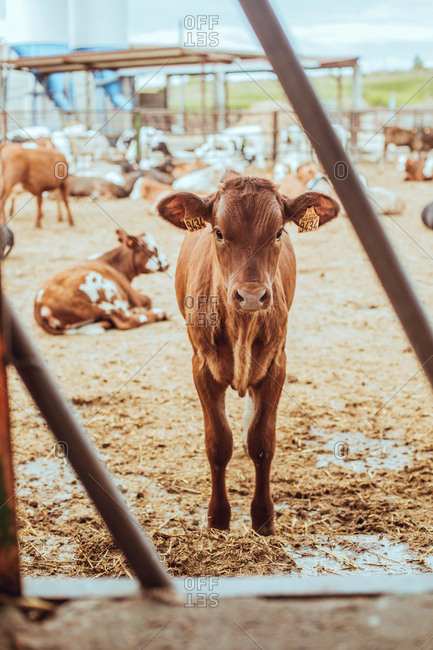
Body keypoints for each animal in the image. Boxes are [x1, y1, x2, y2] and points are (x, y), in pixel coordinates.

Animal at [34, 229, 168, 335]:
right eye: (152, 250)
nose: (167, 263)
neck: (113, 263)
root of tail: (40, 303)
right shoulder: (134, 296)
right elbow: (147, 300)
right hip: (106, 293)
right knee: (127, 320)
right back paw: (159, 313)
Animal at [156, 176, 339, 535]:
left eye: (279, 232)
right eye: (218, 232)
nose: (251, 296)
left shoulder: (276, 365)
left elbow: (262, 442)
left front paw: (263, 518)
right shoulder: (202, 367)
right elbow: (217, 443)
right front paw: (218, 518)